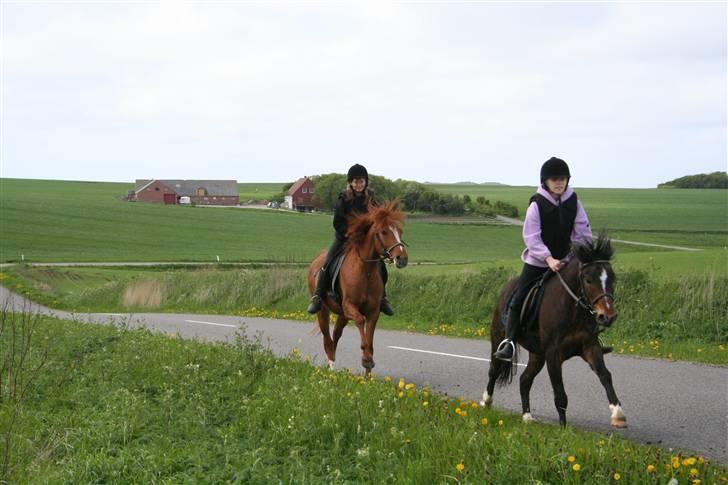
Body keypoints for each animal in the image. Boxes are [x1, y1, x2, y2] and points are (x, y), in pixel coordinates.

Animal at [308, 200, 410, 374]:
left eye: (399, 231)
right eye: (384, 232)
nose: (401, 259)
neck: (365, 271)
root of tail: (317, 259)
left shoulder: (373, 311)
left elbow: (370, 340)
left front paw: (368, 368)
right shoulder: (350, 306)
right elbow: (361, 323)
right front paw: (366, 359)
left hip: (342, 314)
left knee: (335, 335)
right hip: (323, 311)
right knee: (327, 339)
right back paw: (331, 367)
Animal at [480, 234, 628, 428]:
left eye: (612, 279)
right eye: (588, 279)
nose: (607, 316)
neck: (572, 309)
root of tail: (506, 289)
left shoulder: (590, 347)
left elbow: (605, 376)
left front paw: (618, 414)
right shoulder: (553, 353)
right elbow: (560, 393)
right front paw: (563, 428)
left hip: (537, 354)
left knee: (524, 380)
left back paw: (527, 416)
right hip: (498, 338)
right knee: (494, 370)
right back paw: (486, 401)